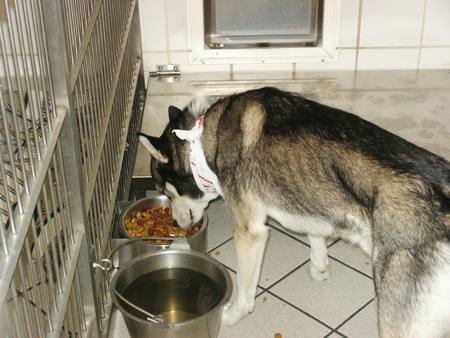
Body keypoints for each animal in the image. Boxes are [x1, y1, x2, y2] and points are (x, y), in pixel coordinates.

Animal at [139, 87, 448, 338]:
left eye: (166, 191)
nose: (175, 223)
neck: (202, 142)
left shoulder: (250, 233)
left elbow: (246, 296)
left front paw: (232, 316)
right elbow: (315, 234)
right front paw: (319, 266)